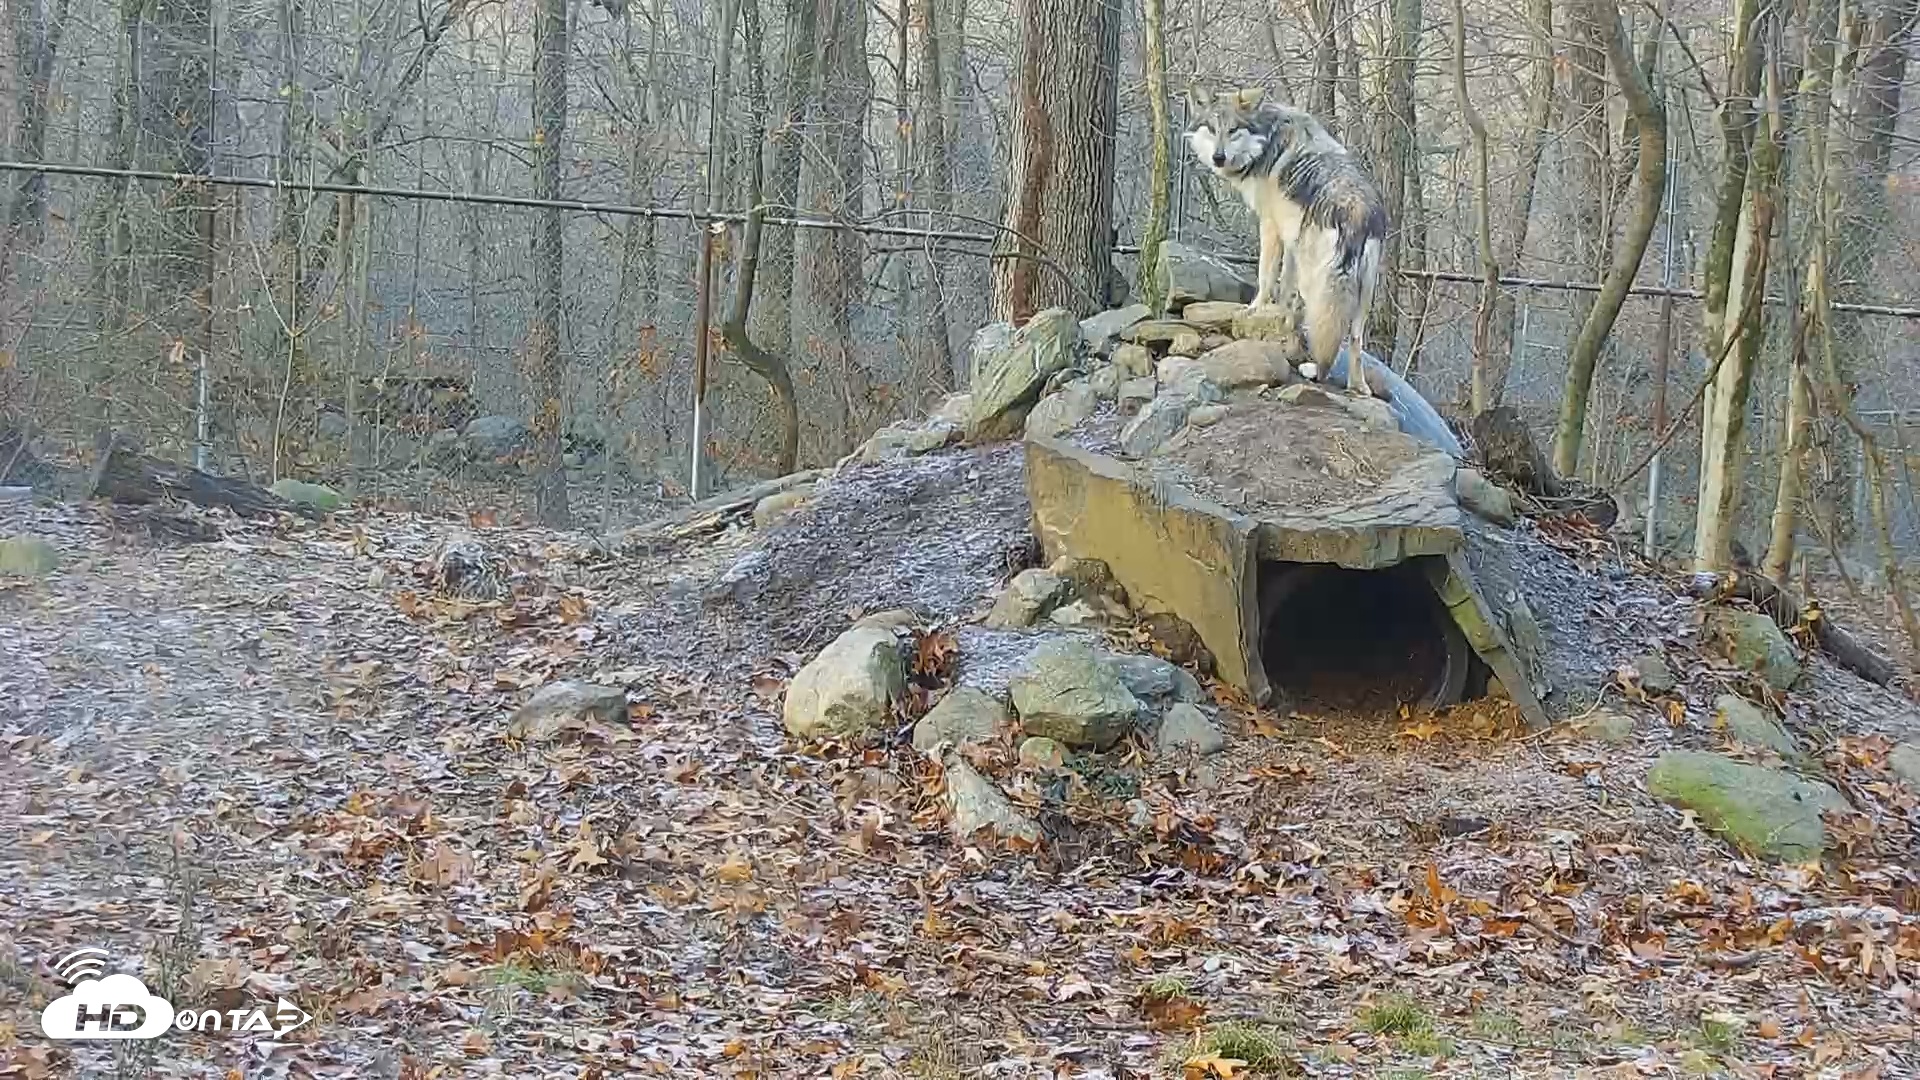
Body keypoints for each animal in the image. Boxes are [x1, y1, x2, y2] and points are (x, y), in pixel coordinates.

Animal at [1185, 87, 1388, 397]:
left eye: (1233, 130)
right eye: (1212, 128)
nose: (1218, 157)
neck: (1266, 141)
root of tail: (1357, 211)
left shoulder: (1270, 227)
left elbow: (1266, 277)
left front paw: (1255, 309)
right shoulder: (1290, 239)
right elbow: (1285, 289)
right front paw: (1281, 318)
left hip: (1318, 285)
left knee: (1327, 334)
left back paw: (1315, 371)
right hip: (1363, 295)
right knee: (1354, 339)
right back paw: (1358, 387)